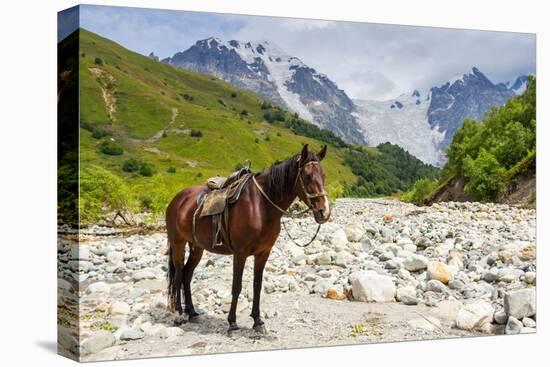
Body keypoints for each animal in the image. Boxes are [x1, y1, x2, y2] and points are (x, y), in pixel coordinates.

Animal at [166, 145, 330, 334]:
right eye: (307, 176)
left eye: (323, 175)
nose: (324, 212)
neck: (260, 206)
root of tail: (177, 199)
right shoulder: (240, 253)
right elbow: (236, 287)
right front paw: (232, 323)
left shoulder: (263, 253)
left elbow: (257, 285)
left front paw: (258, 321)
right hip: (178, 244)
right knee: (178, 275)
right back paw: (179, 314)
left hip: (197, 247)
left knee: (186, 275)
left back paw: (192, 312)